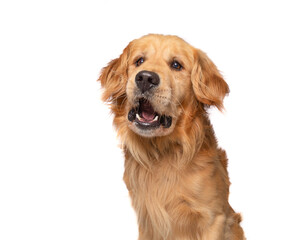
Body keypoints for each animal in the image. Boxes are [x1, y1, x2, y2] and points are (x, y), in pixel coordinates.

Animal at [98, 34, 244, 240]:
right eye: (139, 61)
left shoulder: (214, 218)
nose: (145, 78)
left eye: (176, 65)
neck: (162, 152)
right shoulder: (147, 220)